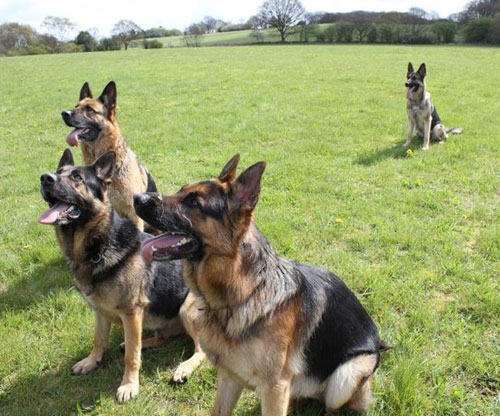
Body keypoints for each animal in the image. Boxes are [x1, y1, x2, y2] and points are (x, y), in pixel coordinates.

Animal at [37, 150, 205, 404]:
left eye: (77, 177)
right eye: (59, 172)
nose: (45, 178)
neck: (100, 246)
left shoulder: (131, 312)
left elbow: (132, 358)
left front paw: (129, 385)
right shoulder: (100, 310)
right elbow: (99, 340)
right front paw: (91, 361)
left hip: (187, 308)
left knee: (201, 350)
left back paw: (183, 368)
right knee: (162, 337)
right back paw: (140, 342)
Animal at [135, 154, 388, 414]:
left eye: (194, 201)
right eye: (181, 190)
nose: (138, 198)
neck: (243, 293)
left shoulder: (274, 387)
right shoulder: (230, 377)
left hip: (346, 376)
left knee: (332, 405)